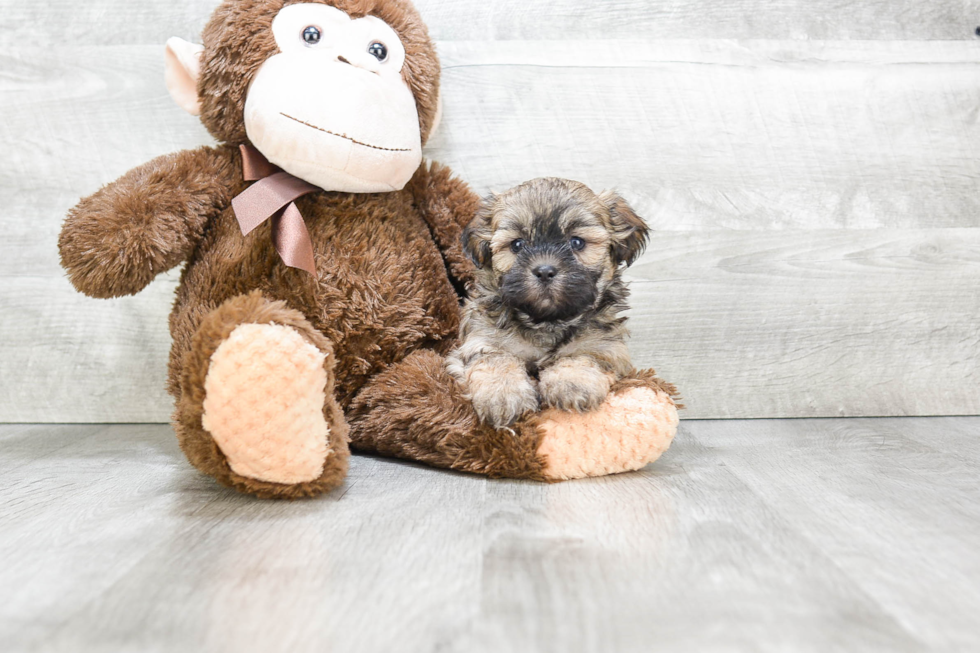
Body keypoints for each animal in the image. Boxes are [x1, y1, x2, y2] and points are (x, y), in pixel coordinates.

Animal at [446, 177, 652, 428]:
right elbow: (496, 359)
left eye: (577, 242)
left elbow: (581, 355)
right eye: (517, 245)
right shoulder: (481, 340)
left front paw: (572, 383)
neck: (547, 321)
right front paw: (503, 396)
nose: (544, 271)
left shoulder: (607, 348)